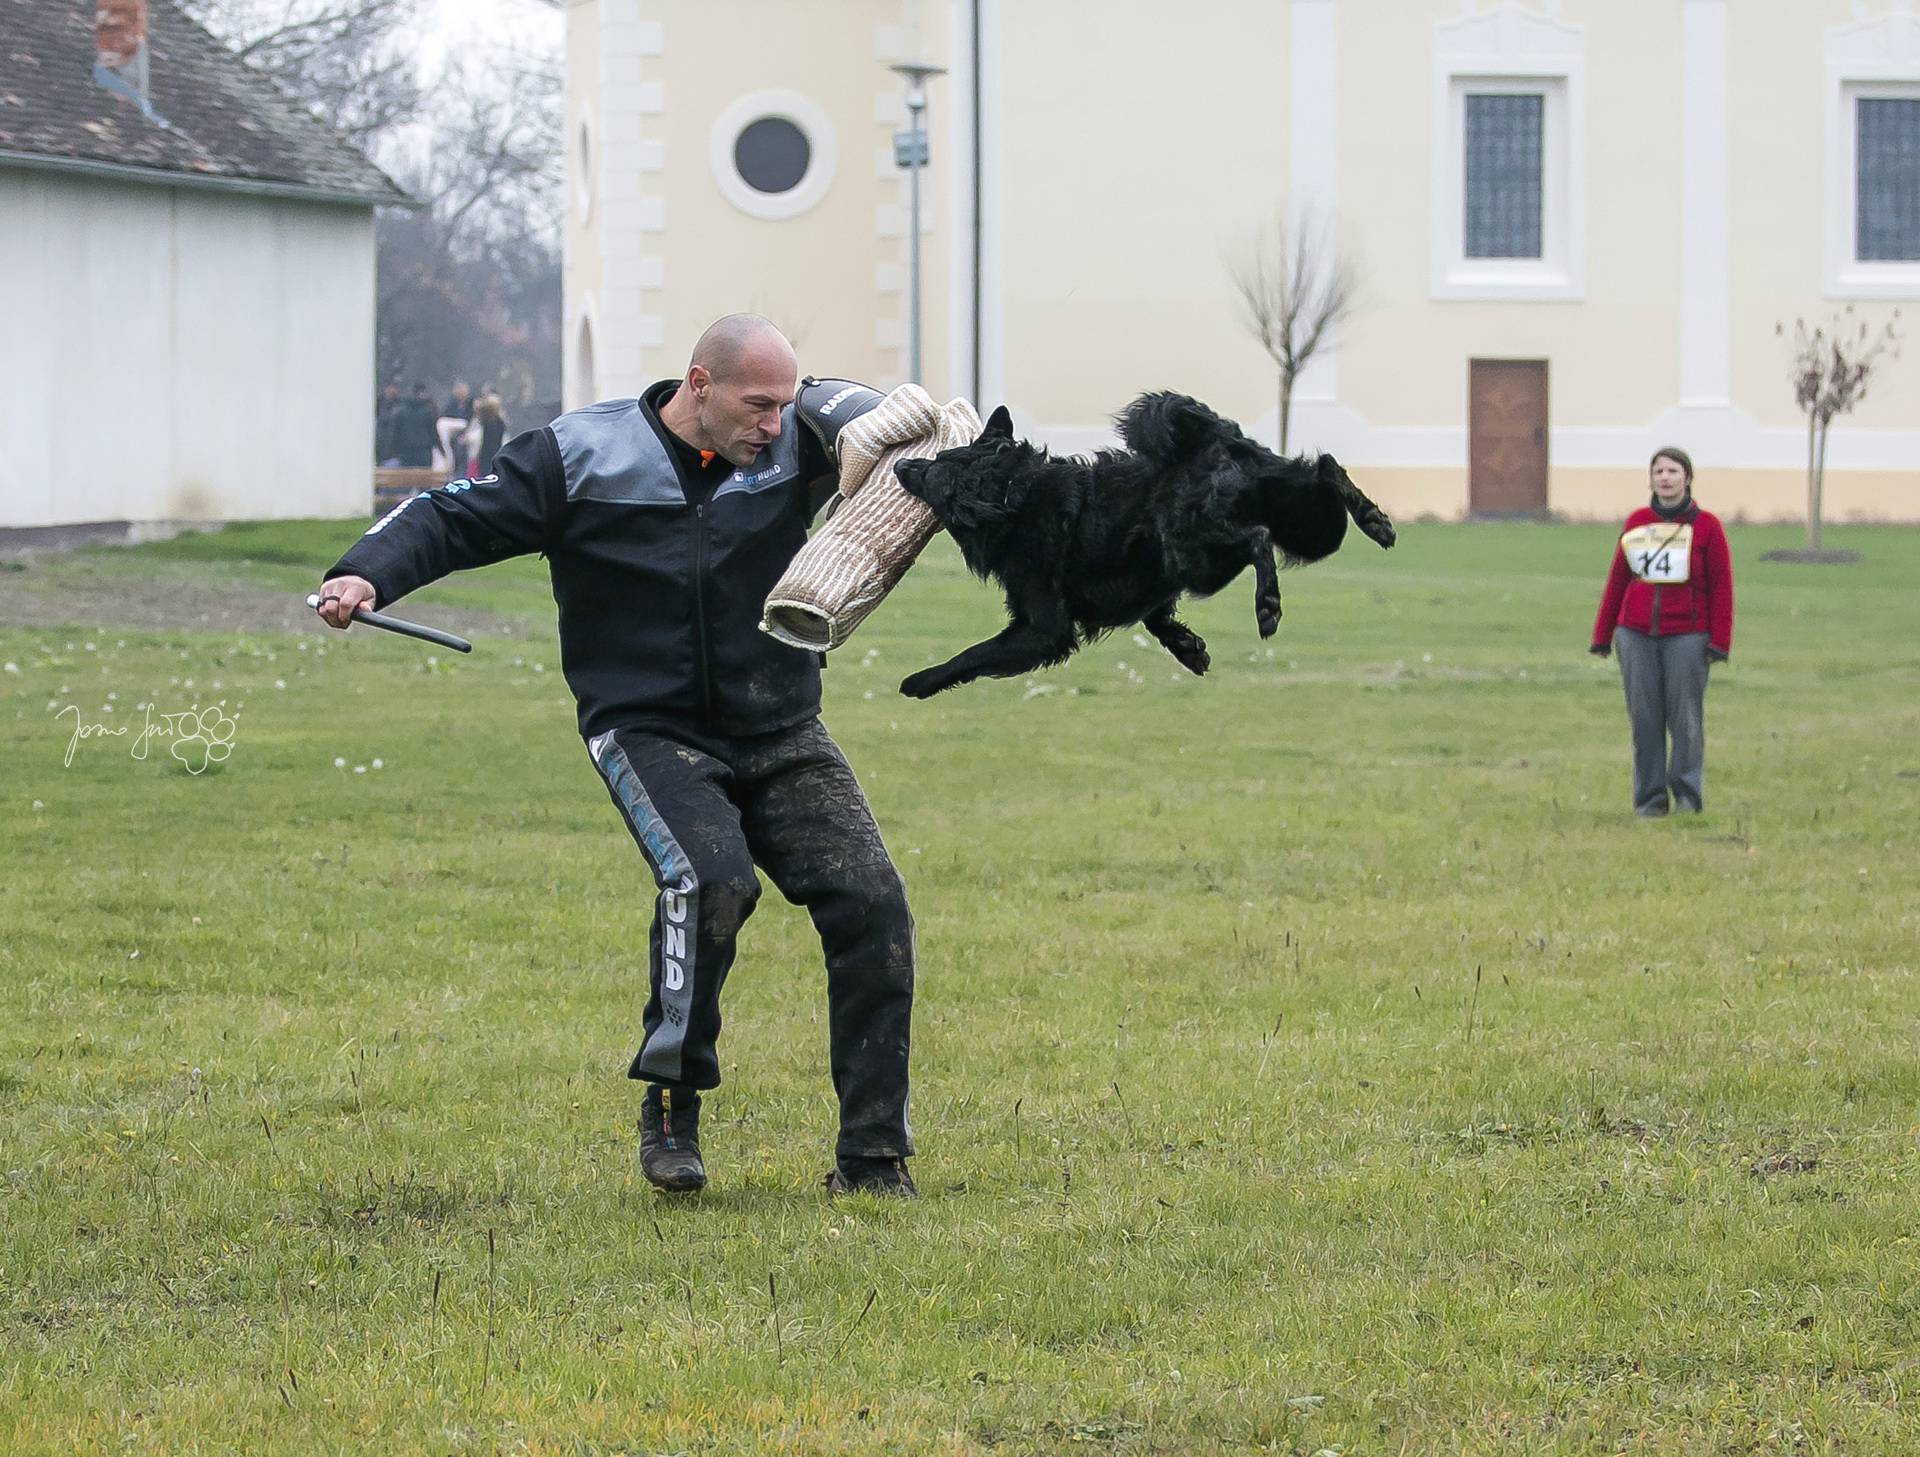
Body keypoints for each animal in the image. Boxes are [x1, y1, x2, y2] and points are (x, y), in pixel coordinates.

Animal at [883, 393, 1397, 702]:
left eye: (934, 474)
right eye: (938, 458)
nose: (902, 465)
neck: (1015, 495)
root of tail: (1213, 440)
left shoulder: (1042, 628)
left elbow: (975, 654)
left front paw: (922, 680)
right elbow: (1156, 616)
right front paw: (1188, 648)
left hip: (1198, 555)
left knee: (1257, 537)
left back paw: (1267, 604)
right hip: (1311, 528)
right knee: (1326, 466)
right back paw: (1375, 520)